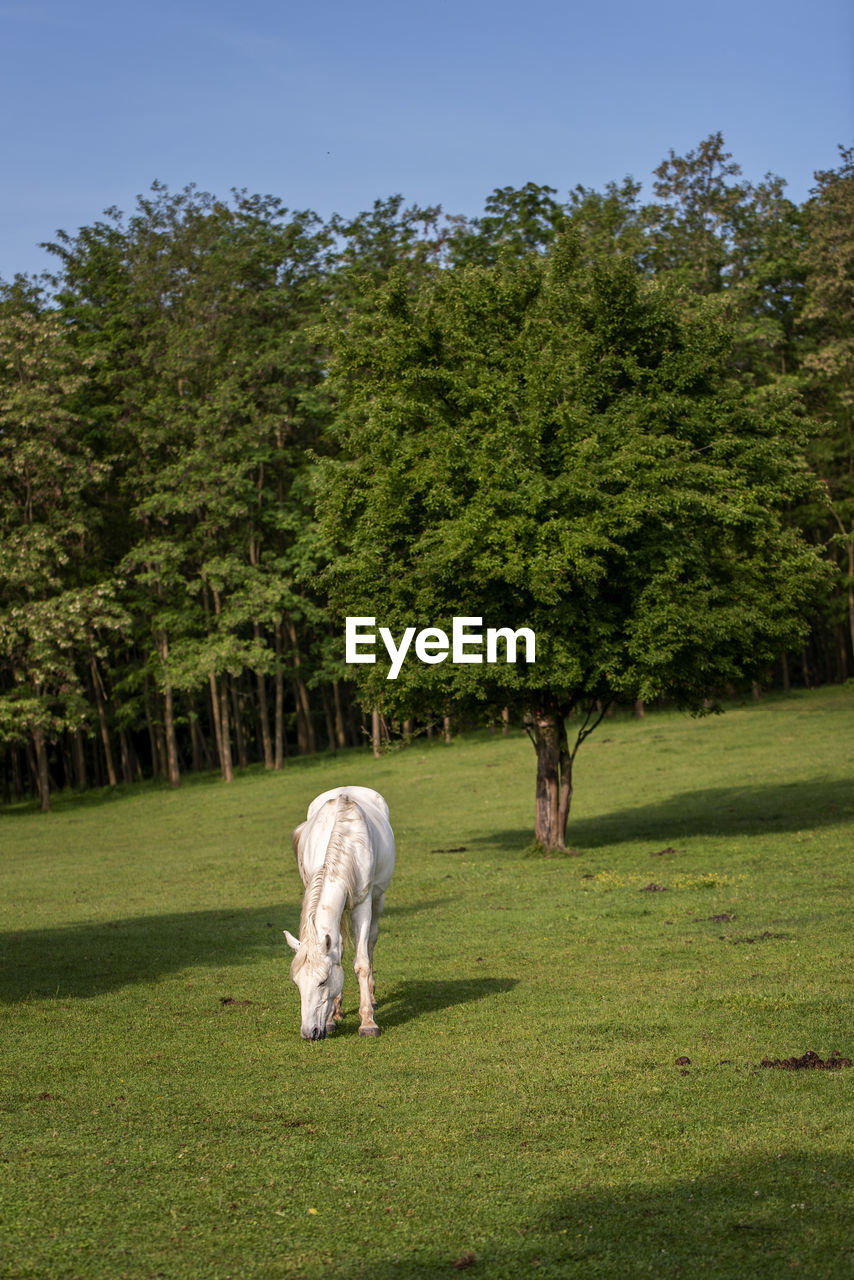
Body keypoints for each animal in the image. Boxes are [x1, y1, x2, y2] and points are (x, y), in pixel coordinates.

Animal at [285, 783, 396, 1044]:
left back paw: (372, 998)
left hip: (378, 900)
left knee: (371, 942)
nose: (309, 1032)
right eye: (297, 983)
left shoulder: (362, 904)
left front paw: (368, 1022)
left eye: (323, 981)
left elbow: (362, 963)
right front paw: (331, 1017)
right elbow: (338, 952)